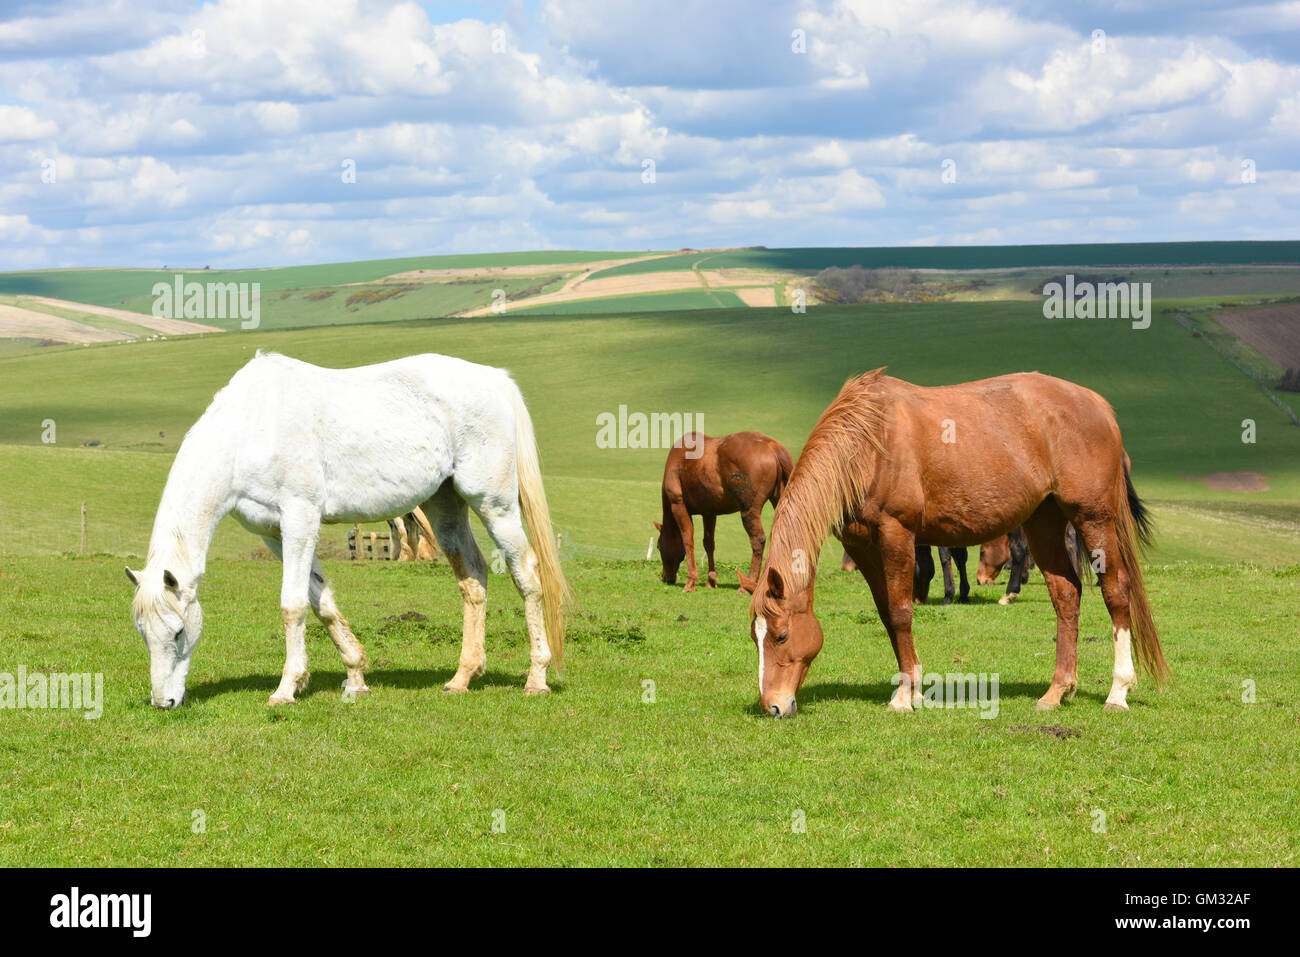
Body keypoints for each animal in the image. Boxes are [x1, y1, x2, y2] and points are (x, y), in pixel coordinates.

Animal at [126, 351, 571, 708]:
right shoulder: (274, 534)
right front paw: (355, 678)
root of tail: (495, 379)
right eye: (142, 634)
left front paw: (286, 689)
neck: (251, 428)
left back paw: (536, 678)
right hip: (445, 506)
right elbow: (321, 601)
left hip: (495, 505)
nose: (164, 701)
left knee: (527, 577)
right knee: (473, 578)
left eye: (179, 632)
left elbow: (293, 605)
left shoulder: (300, 519)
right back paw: (462, 678)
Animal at [655, 431, 793, 591]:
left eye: (659, 546)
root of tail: (772, 446)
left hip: (749, 510)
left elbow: (688, 539)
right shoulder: (709, 512)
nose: (665, 578)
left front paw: (691, 581)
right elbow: (709, 543)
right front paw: (711, 580)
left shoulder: (678, 505)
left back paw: (749, 583)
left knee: (758, 540)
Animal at [739, 369, 1167, 718]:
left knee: (1116, 592)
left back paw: (1117, 691)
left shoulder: (896, 534)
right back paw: (1058, 690)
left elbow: (901, 612)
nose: (772, 706)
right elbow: (886, 614)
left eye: (780, 635)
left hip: (1093, 517)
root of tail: (1098, 404)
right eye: (754, 637)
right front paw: (911, 687)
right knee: (1066, 594)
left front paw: (904, 697)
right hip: (1044, 520)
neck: (867, 443)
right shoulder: (862, 545)